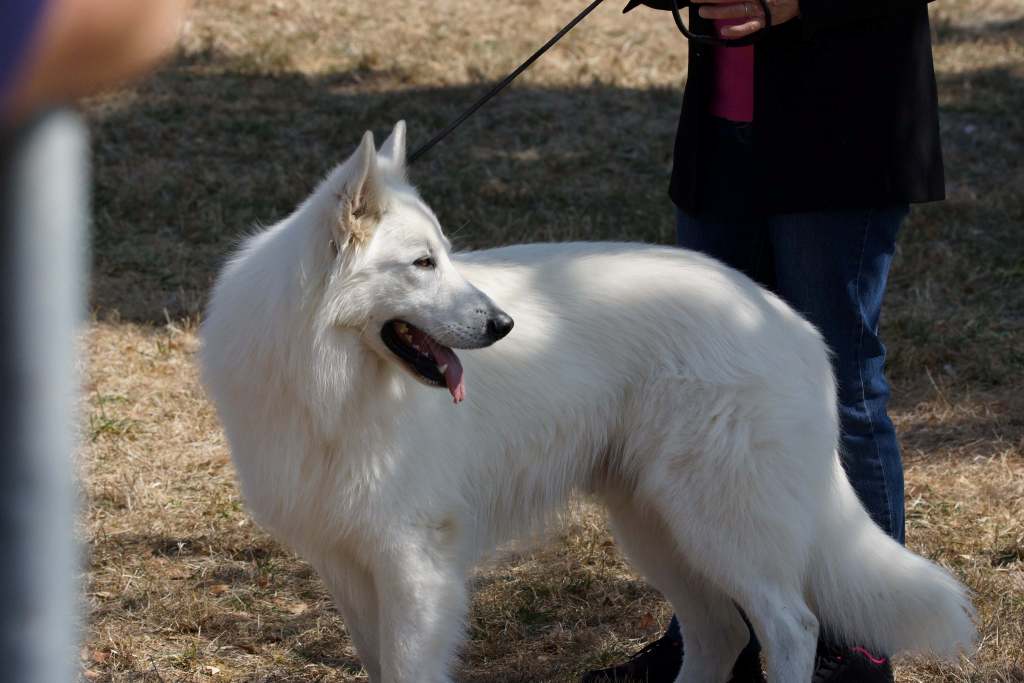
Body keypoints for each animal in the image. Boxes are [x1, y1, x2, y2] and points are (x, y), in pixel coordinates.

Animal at [199, 122, 974, 683]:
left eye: (442, 255)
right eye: (423, 263)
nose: (503, 325)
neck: (324, 379)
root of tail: (786, 319)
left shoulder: (413, 563)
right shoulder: (346, 560)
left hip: (719, 523)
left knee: (791, 626)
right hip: (656, 525)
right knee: (720, 632)